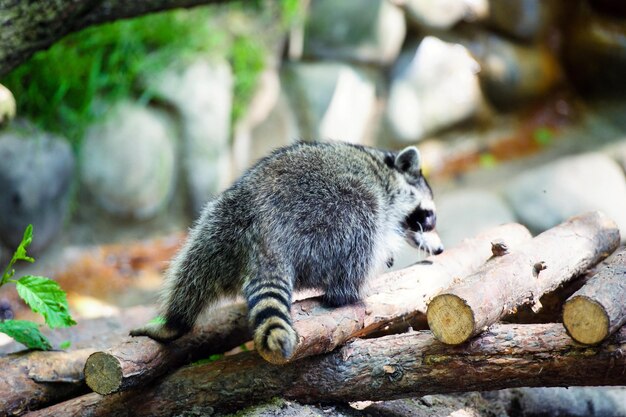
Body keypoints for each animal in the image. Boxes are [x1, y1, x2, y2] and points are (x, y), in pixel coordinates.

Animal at [130, 140, 444, 360]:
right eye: (428, 216)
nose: (440, 249)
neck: (383, 168)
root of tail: (268, 236)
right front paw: (390, 249)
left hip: (222, 221)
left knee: (191, 270)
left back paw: (175, 321)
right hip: (332, 215)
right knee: (362, 220)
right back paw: (350, 290)